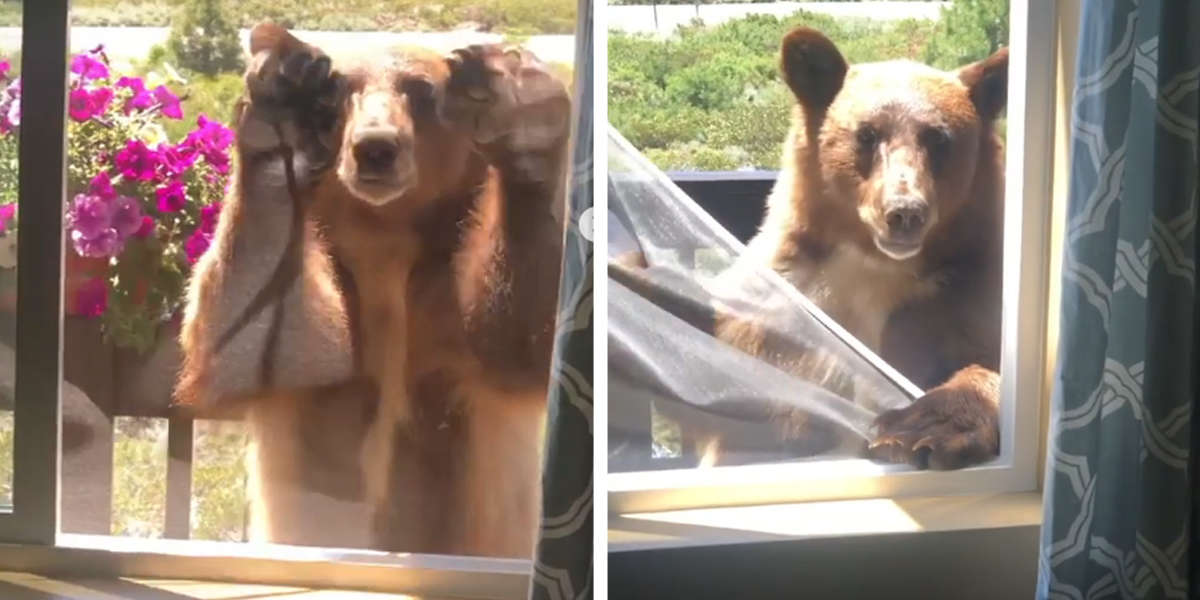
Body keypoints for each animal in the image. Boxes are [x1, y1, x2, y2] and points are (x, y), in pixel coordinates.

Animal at [175, 23, 570, 557]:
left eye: (422, 89)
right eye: (343, 87)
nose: (376, 147)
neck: (386, 236)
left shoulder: (445, 284)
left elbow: (519, 346)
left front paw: (525, 129)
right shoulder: (340, 279)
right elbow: (268, 352)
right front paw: (281, 124)